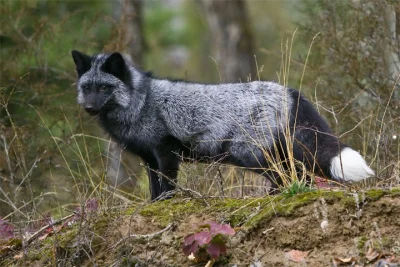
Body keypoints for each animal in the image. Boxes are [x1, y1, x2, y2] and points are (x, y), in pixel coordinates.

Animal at [70, 50, 374, 201]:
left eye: (104, 88)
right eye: (87, 88)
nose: (89, 108)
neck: (141, 102)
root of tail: (290, 92)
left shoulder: (165, 151)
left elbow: (167, 185)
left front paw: (165, 202)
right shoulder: (149, 159)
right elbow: (154, 187)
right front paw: (153, 204)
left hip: (249, 154)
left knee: (288, 176)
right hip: (278, 154)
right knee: (299, 176)